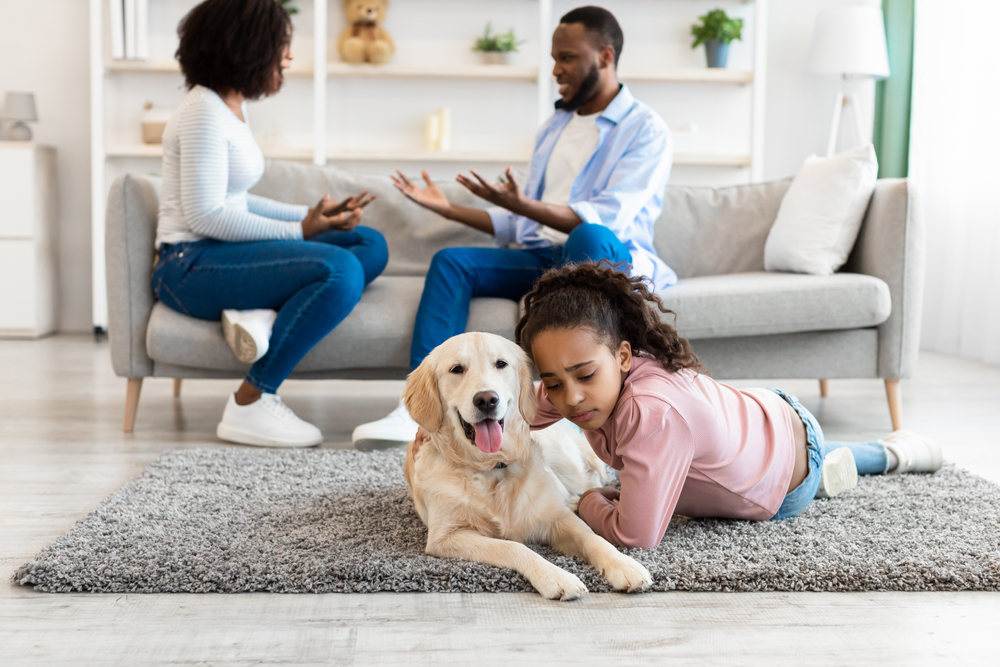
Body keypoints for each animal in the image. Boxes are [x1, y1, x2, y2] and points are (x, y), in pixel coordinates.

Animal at [402, 334, 652, 600]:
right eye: (456, 369)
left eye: (501, 364)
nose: (487, 400)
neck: (492, 467)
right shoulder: (446, 536)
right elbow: (513, 547)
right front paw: (556, 576)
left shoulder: (557, 517)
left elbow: (593, 538)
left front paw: (623, 564)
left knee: (591, 482)